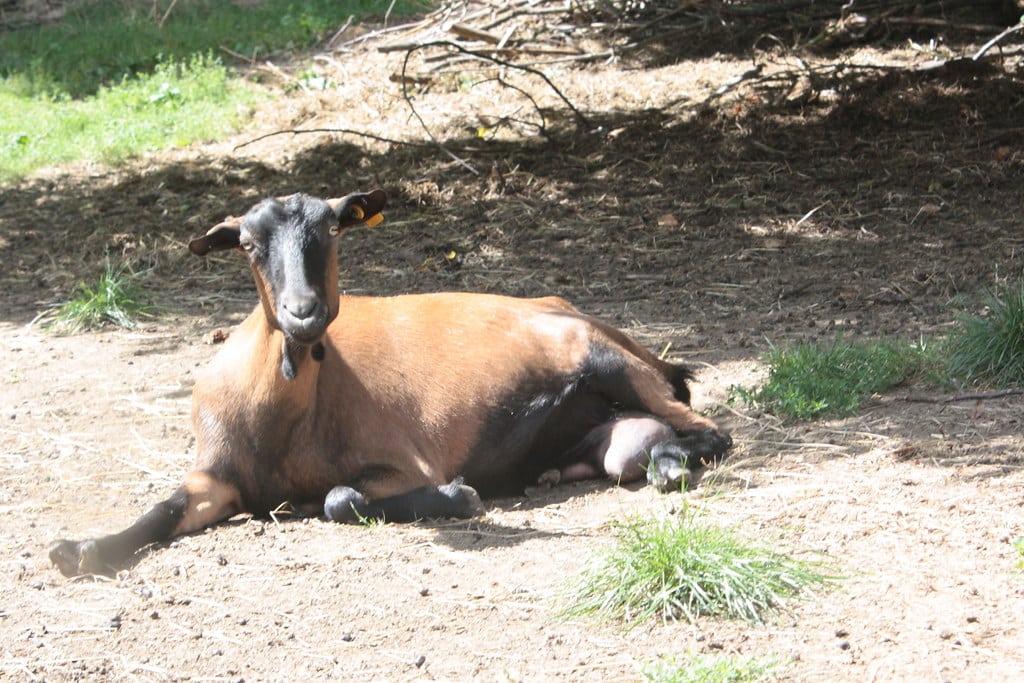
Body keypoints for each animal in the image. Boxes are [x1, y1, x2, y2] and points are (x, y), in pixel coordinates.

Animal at [49, 190, 732, 577]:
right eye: (246, 242)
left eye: (332, 229)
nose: (303, 312)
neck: (280, 419)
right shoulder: (215, 476)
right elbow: (162, 508)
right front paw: (81, 551)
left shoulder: (405, 460)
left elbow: (337, 500)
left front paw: (459, 497)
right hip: (606, 425)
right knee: (638, 445)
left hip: (607, 358)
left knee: (712, 430)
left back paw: (672, 465)